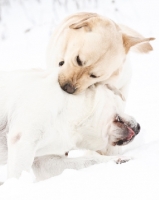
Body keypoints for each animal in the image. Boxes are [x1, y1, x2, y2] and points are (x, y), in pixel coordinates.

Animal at [0, 68, 140, 180]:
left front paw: (119, 160)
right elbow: (17, 175)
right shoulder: (22, 140)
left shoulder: (44, 160)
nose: (139, 127)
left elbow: (90, 160)